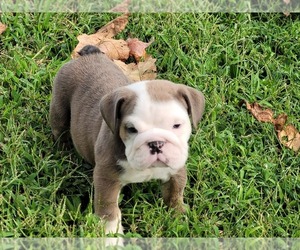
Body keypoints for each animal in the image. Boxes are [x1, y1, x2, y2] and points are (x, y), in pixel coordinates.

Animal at [50, 44, 205, 234]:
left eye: (177, 125)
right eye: (131, 129)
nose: (156, 143)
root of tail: (90, 54)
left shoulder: (176, 169)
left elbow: (175, 193)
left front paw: (178, 217)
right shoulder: (106, 178)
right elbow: (108, 208)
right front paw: (110, 235)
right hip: (60, 103)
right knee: (59, 128)